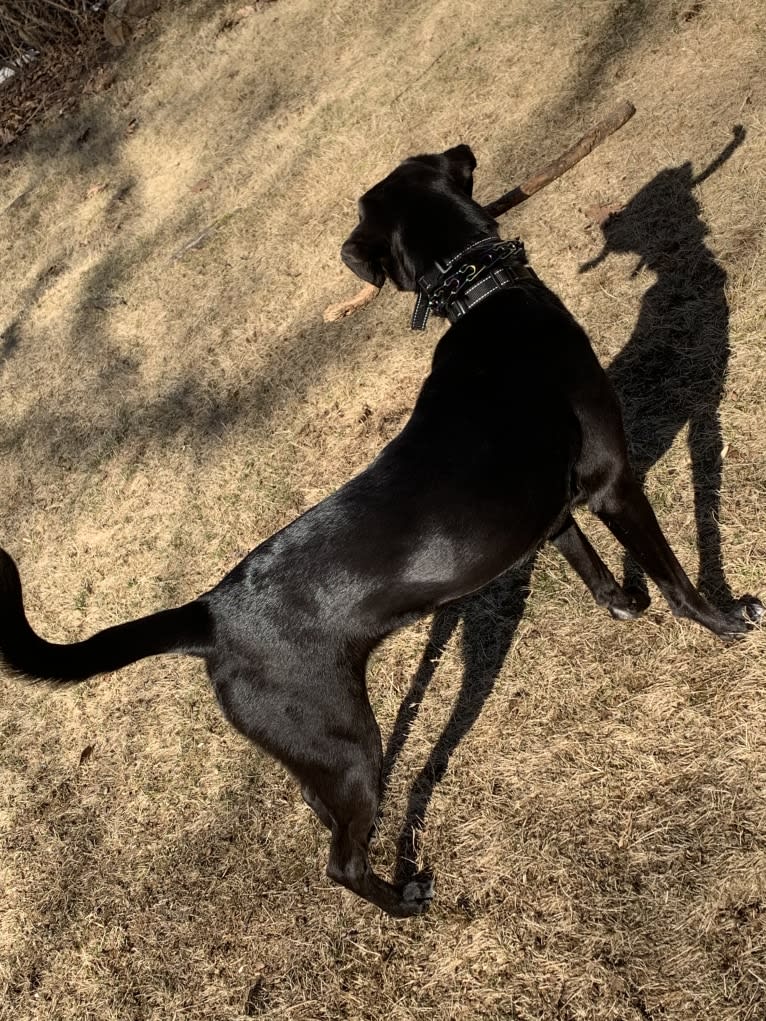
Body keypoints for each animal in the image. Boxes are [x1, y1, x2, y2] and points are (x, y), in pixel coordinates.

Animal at [0, 143, 763, 918]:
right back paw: (406, 898)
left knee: (323, 817)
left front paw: (624, 603)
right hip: (347, 742)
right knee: (340, 861)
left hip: (315, 754)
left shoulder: (551, 512)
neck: (482, 294)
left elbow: (590, 563)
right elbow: (674, 573)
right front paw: (726, 618)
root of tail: (211, 613)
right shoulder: (615, 481)